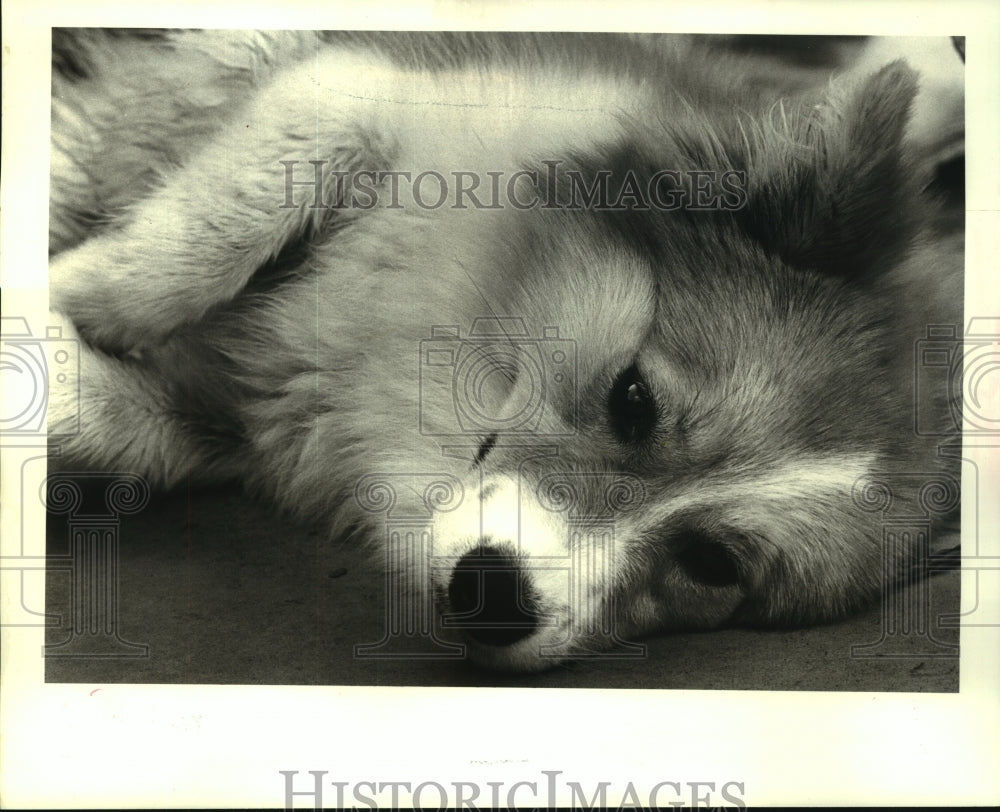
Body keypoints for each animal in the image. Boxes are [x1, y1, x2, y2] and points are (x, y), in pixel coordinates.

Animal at [45, 31, 960, 672]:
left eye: (711, 563)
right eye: (635, 399)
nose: (491, 596)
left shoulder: (239, 422)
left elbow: (119, 427)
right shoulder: (354, 86)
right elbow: (219, 221)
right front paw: (72, 288)